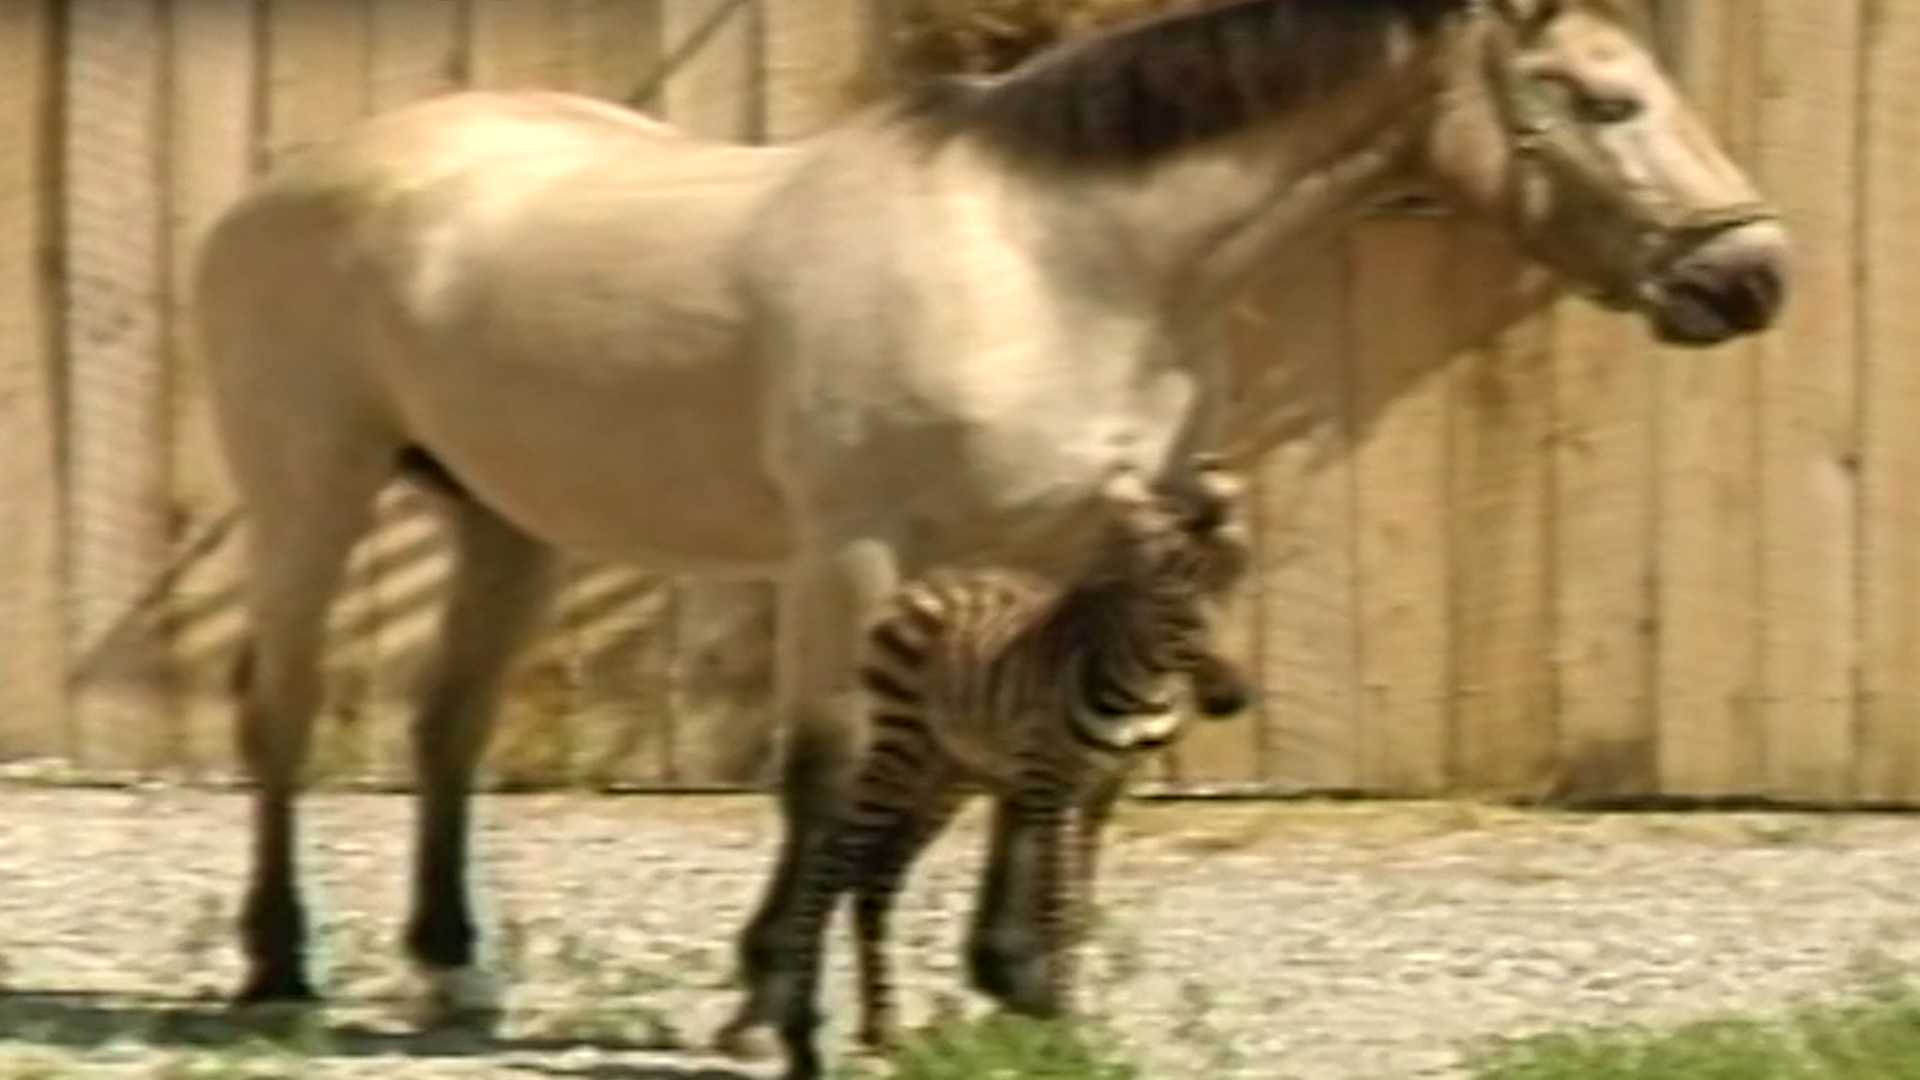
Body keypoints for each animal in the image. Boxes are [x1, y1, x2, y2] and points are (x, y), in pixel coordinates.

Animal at [191, 0, 1781, 1045]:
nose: (1754, 279)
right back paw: (277, 973)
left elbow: (1065, 763)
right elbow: (823, 773)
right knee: (280, 711)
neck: (1053, 258)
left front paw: (1017, 979)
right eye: (1606, 102)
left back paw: (452, 972)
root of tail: (298, 180)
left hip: (509, 521)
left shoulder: (1086, 544)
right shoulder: (852, 552)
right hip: (313, 493)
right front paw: (772, 1004)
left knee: (446, 729)